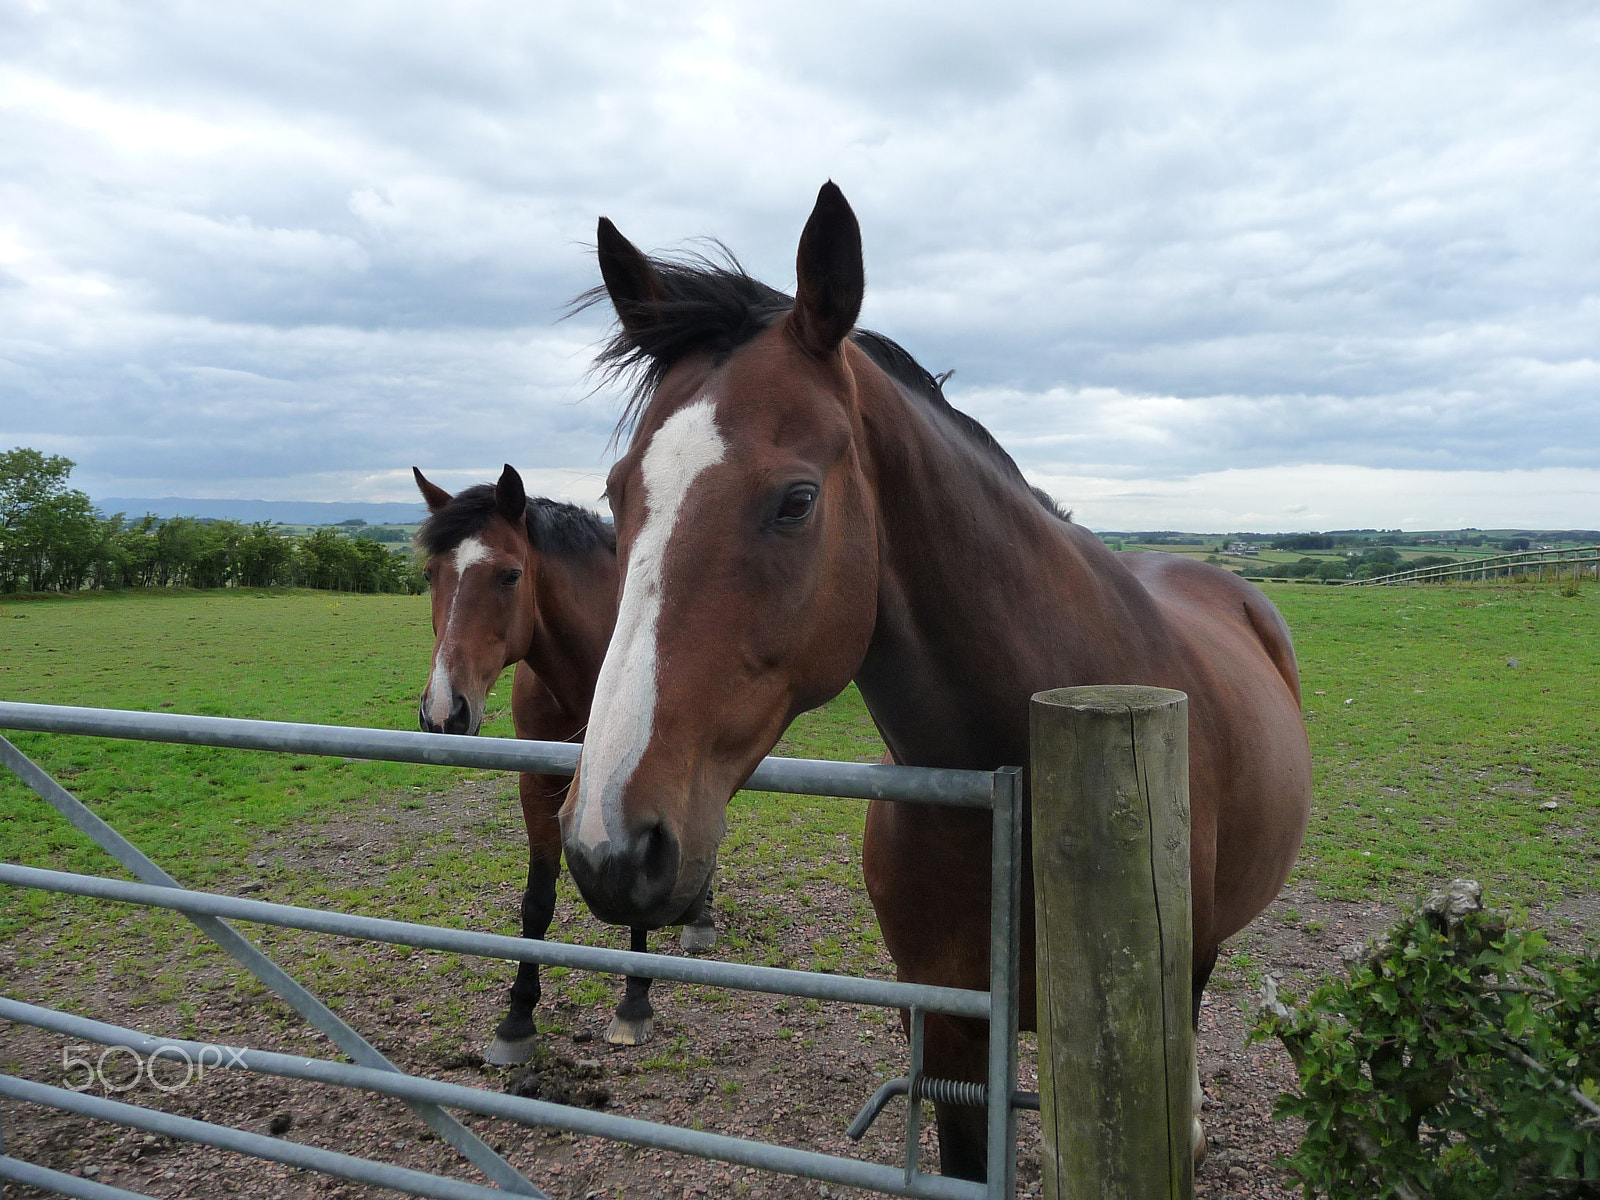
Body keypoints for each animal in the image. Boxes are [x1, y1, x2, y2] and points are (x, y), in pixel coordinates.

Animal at [412, 464, 720, 1062]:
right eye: (431, 574)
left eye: (510, 575)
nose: (443, 711)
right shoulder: (538, 786)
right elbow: (537, 900)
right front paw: (517, 1019)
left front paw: (634, 1005)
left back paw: (700, 917)